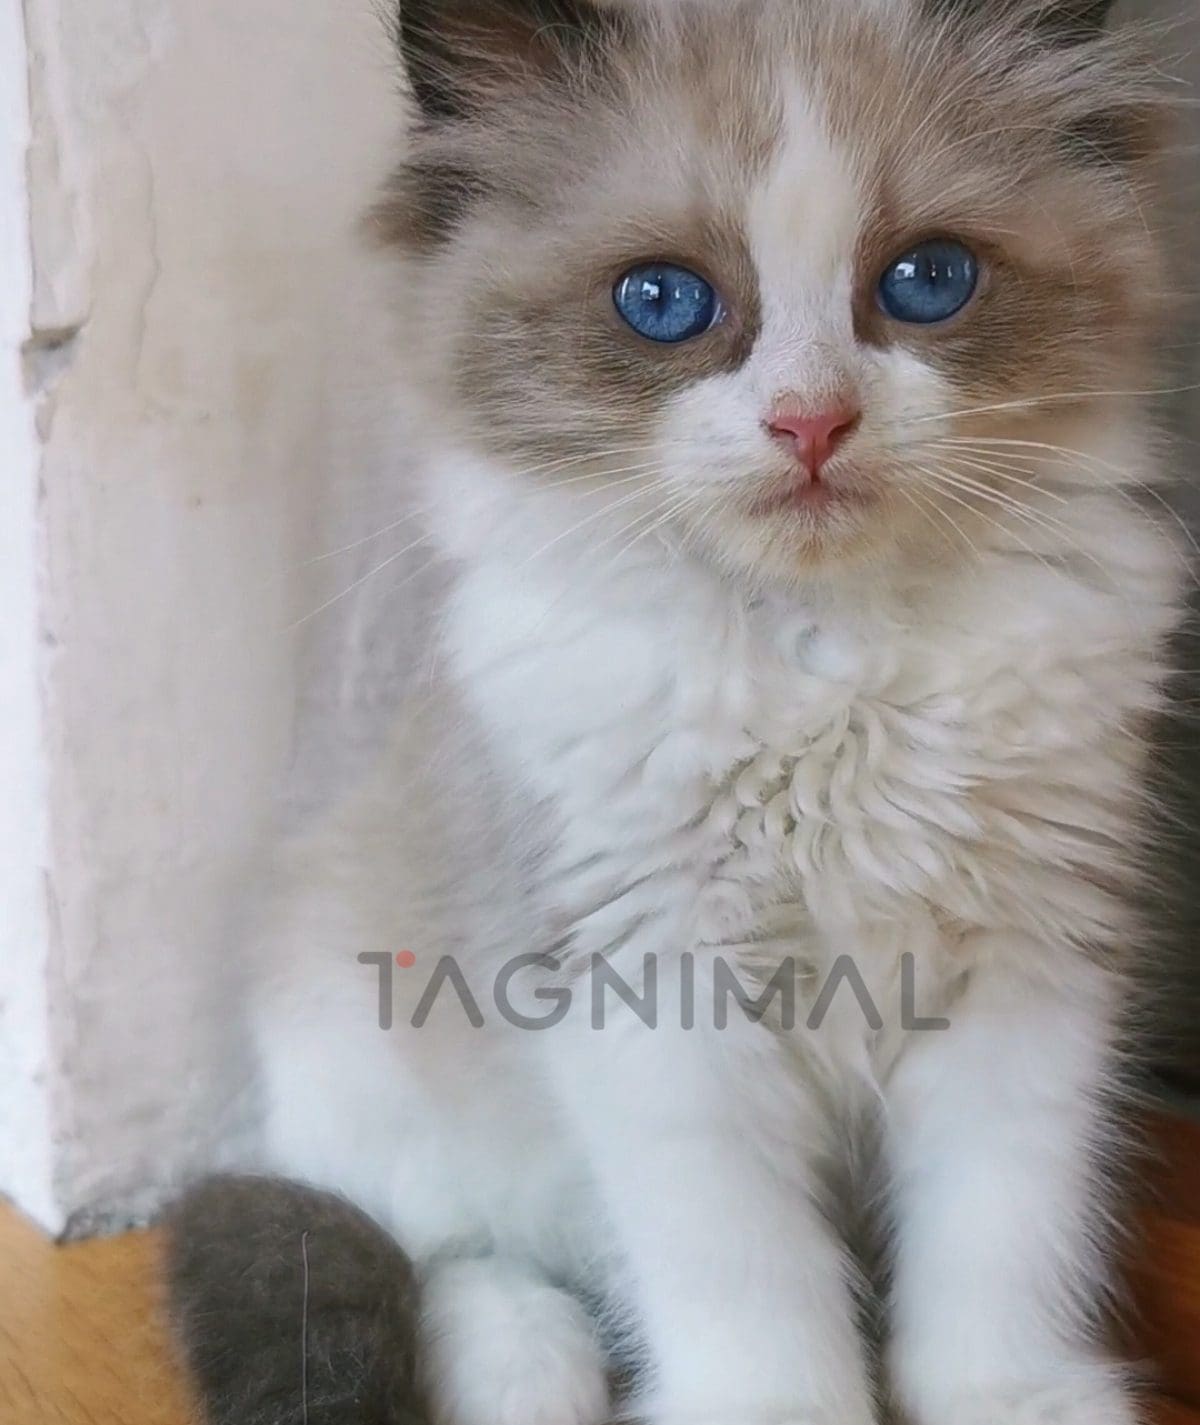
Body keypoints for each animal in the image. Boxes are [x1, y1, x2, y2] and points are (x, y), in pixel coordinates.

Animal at [166, 2, 1191, 1424]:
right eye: (663, 303)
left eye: (928, 280)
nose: (811, 422)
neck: (827, 652)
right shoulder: (654, 990)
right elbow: (748, 1284)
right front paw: (782, 1410)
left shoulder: (1021, 976)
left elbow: (997, 1244)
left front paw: (1006, 1398)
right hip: (366, 1040)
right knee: (441, 1251)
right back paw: (535, 1377)